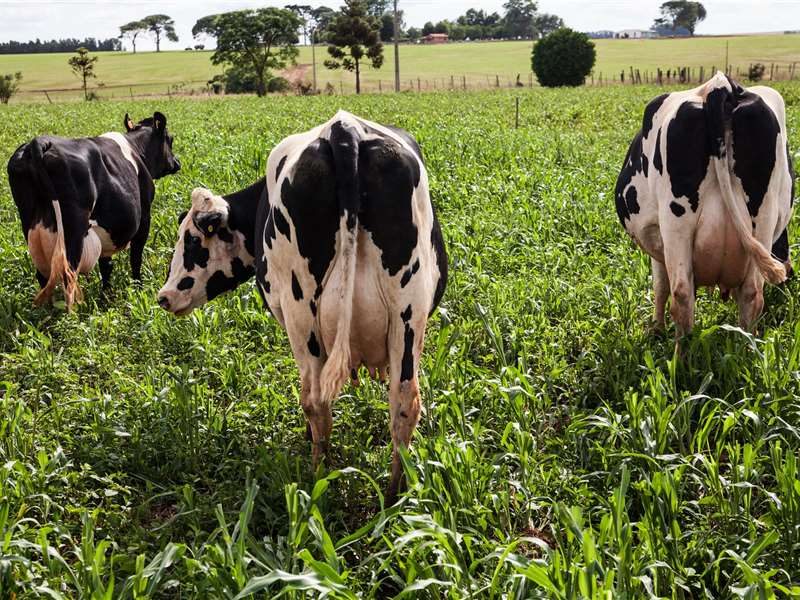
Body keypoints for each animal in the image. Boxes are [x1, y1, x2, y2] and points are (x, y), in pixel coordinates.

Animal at [7, 113, 180, 310]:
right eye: (170, 139)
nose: (177, 163)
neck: (137, 148)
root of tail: (38, 142)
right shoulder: (144, 217)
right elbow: (136, 258)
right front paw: (139, 289)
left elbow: (106, 265)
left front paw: (107, 296)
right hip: (73, 227)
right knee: (68, 275)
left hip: (30, 223)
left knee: (43, 276)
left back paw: (49, 311)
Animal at [161, 110, 450, 500]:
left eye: (191, 240)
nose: (165, 296)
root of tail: (344, 132)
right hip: (409, 314)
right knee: (404, 403)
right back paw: (393, 494)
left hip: (303, 318)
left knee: (315, 400)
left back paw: (318, 478)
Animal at [612, 71, 792, 338]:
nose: (789, 276)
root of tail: (721, 86)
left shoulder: (657, 240)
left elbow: (660, 286)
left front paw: (656, 329)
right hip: (762, 220)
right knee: (751, 294)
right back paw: (747, 343)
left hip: (676, 223)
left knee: (682, 294)